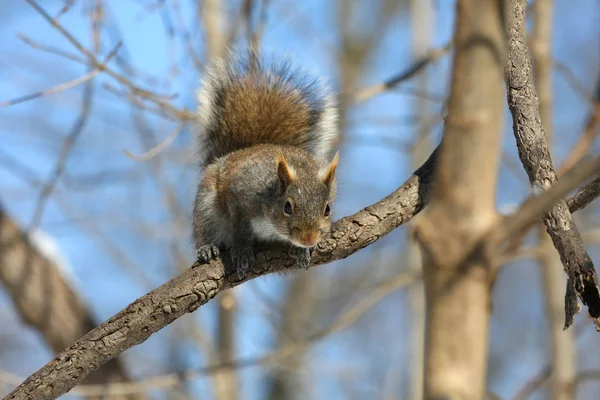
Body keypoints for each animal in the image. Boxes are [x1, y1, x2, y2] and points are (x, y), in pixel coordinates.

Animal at [193, 50, 340, 278]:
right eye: (287, 206)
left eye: (327, 209)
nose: (308, 239)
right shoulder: (240, 195)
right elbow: (240, 229)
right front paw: (242, 251)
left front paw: (303, 250)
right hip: (206, 205)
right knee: (206, 230)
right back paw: (207, 248)